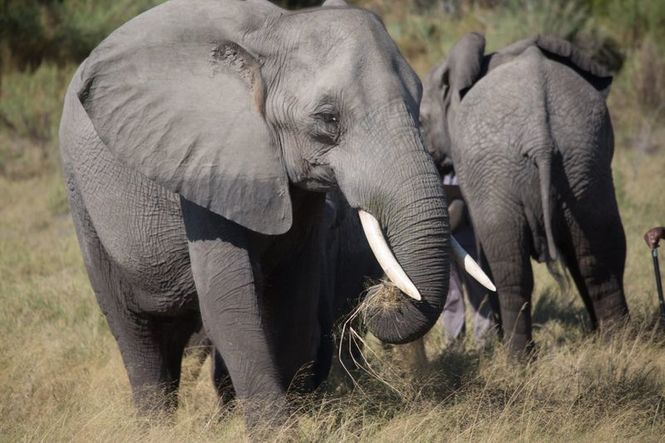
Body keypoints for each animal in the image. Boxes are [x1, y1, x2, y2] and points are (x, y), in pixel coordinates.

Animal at [58, 0, 456, 428]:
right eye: (328, 119)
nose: (383, 298)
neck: (272, 32)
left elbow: (294, 301)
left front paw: (301, 418)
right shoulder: (208, 162)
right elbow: (228, 306)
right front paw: (278, 430)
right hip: (81, 198)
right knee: (135, 332)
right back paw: (154, 428)